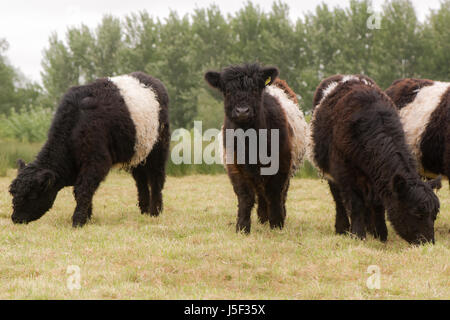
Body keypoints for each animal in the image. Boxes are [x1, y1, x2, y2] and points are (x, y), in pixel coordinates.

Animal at [8, 72, 171, 228]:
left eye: (32, 196)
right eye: (13, 193)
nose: (15, 218)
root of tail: (151, 79)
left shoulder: (96, 160)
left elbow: (83, 189)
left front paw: (78, 221)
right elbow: (81, 191)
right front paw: (87, 217)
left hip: (158, 148)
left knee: (156, 178)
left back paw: (155, 211)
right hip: (138, 153)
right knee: (141, 180)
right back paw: (144, 210)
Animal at [206, 63, 308, 232]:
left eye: (254, 89)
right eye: (228, 91)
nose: (242, 111)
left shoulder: (281, 165)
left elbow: (274, 193)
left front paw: (277, 224)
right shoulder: (235, 166)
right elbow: (245, 196)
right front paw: (242, 227)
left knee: (280, 194)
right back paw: (262, 217)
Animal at [312, 75, 442, 245]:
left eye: (435, 214)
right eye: (416, 212)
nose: (428, 243)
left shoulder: (379, 179)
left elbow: (378, 205)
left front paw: (380, 234)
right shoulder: (345, 173)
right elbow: (356, 204)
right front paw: (358, 235)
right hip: (330, 172)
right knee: (338, 199)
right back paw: (342, 228)